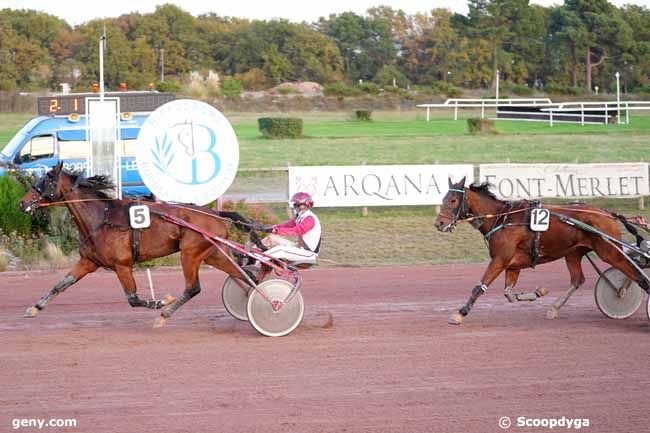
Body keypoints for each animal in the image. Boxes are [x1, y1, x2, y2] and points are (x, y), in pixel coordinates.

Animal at [15, 162, 253, 328]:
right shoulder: (89, 261)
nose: (22, 203)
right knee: (244, 276)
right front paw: (34, 308)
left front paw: (161, 302)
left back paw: (164, 315)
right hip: (214, 254)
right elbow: (62, 284)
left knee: (193, 288)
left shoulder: (122, 265)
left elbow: (133, 299)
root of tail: (216, 214)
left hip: (190, 253)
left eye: (45, 182)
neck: (101, 218)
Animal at [432, 176, 644, 324]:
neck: (502, 218)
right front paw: (539, 292)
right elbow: (509, 293)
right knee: (577, 280)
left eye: (452, 200)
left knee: (634, 273)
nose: (439, 223)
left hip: (609, 251)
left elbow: (480, 286)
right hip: (573, 253)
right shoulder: (513, 264)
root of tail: (609, 214)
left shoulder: (500, 259)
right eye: (443, 198)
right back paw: (554, 308)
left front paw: (460, 313)